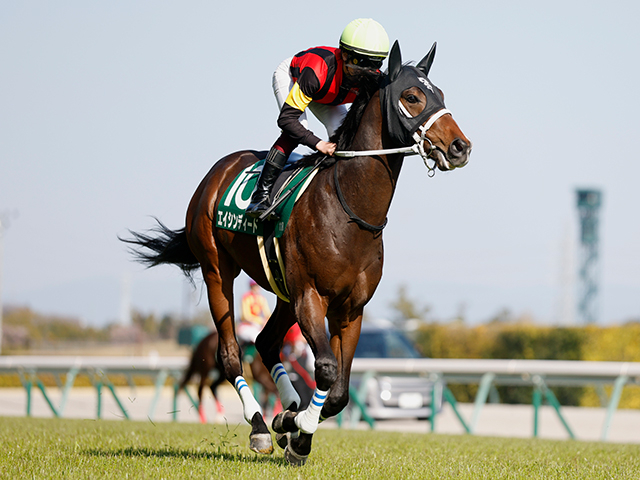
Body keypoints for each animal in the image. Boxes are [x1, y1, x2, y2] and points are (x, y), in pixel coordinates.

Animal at [123, 40, 471, 465]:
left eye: (441, 95)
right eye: (412, 96)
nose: (461, 146)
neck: (349, 209)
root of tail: (217, 172)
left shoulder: (350, 309)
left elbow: (339, 390)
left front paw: (294, 425)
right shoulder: (311, 296)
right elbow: (325, 370)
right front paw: (298, 431)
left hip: (283, 293)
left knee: (266, 342)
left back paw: (283, 412)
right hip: (218, 271)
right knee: (231, 353)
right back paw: (259, 426)